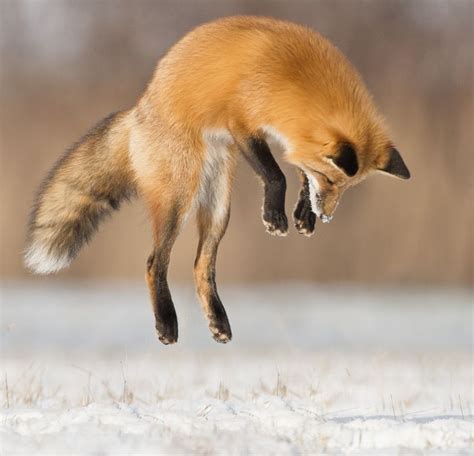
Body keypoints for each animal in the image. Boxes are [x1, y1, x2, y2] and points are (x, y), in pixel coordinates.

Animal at [25, 16, 410, 346]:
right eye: (330, 179)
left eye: (344, 187)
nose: (327, 215)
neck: (297, 77)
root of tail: (138, 111)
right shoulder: (242, 123)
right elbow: (276, 175)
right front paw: (276, 216)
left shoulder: (286, 138)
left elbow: (297, 172)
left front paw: (304, 215)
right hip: (179, 197)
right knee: (154, 263)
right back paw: (167, 323)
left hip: (218, 207)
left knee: (201, 266)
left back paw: (218, 322)